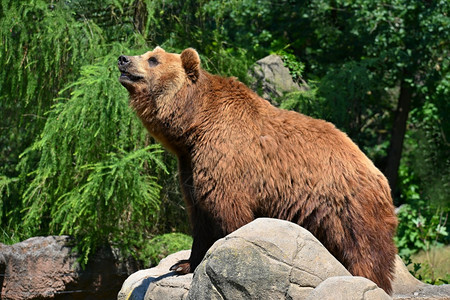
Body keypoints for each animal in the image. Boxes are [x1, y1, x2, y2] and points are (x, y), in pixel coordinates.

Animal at [118, 47, 398, 292]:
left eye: (153, 59)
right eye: (147, 53)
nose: (123, 59)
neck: (194, 124)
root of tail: (377, 172)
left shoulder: (227, 158)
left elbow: (228, 214)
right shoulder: (189, 165)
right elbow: (199, 214)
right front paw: (183, 264)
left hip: (349, 210)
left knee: (367, 254)